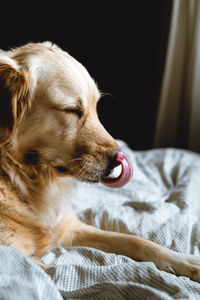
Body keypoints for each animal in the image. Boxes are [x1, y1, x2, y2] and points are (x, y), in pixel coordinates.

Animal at [0, 41, 200, 282]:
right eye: (72, 110)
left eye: (95, 108)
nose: (119, 160)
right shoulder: (17, 257)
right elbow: (56, 274)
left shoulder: (69, 228)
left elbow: (135, 241)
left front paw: (185, 261)